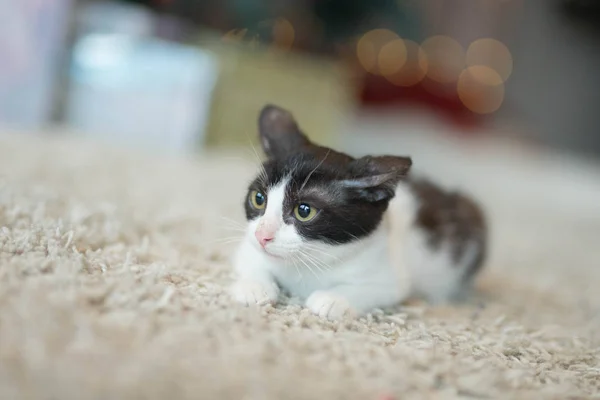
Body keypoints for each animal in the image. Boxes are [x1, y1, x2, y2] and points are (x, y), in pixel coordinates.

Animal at [230, 104, 488, 320]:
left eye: (304, 210)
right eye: (258, 199)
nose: (262, 236)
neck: (309, 262)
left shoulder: (388, 276)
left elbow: (371, 289)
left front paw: (333, 299)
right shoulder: (249, 246)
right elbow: (251, 259)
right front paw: (254, 287)